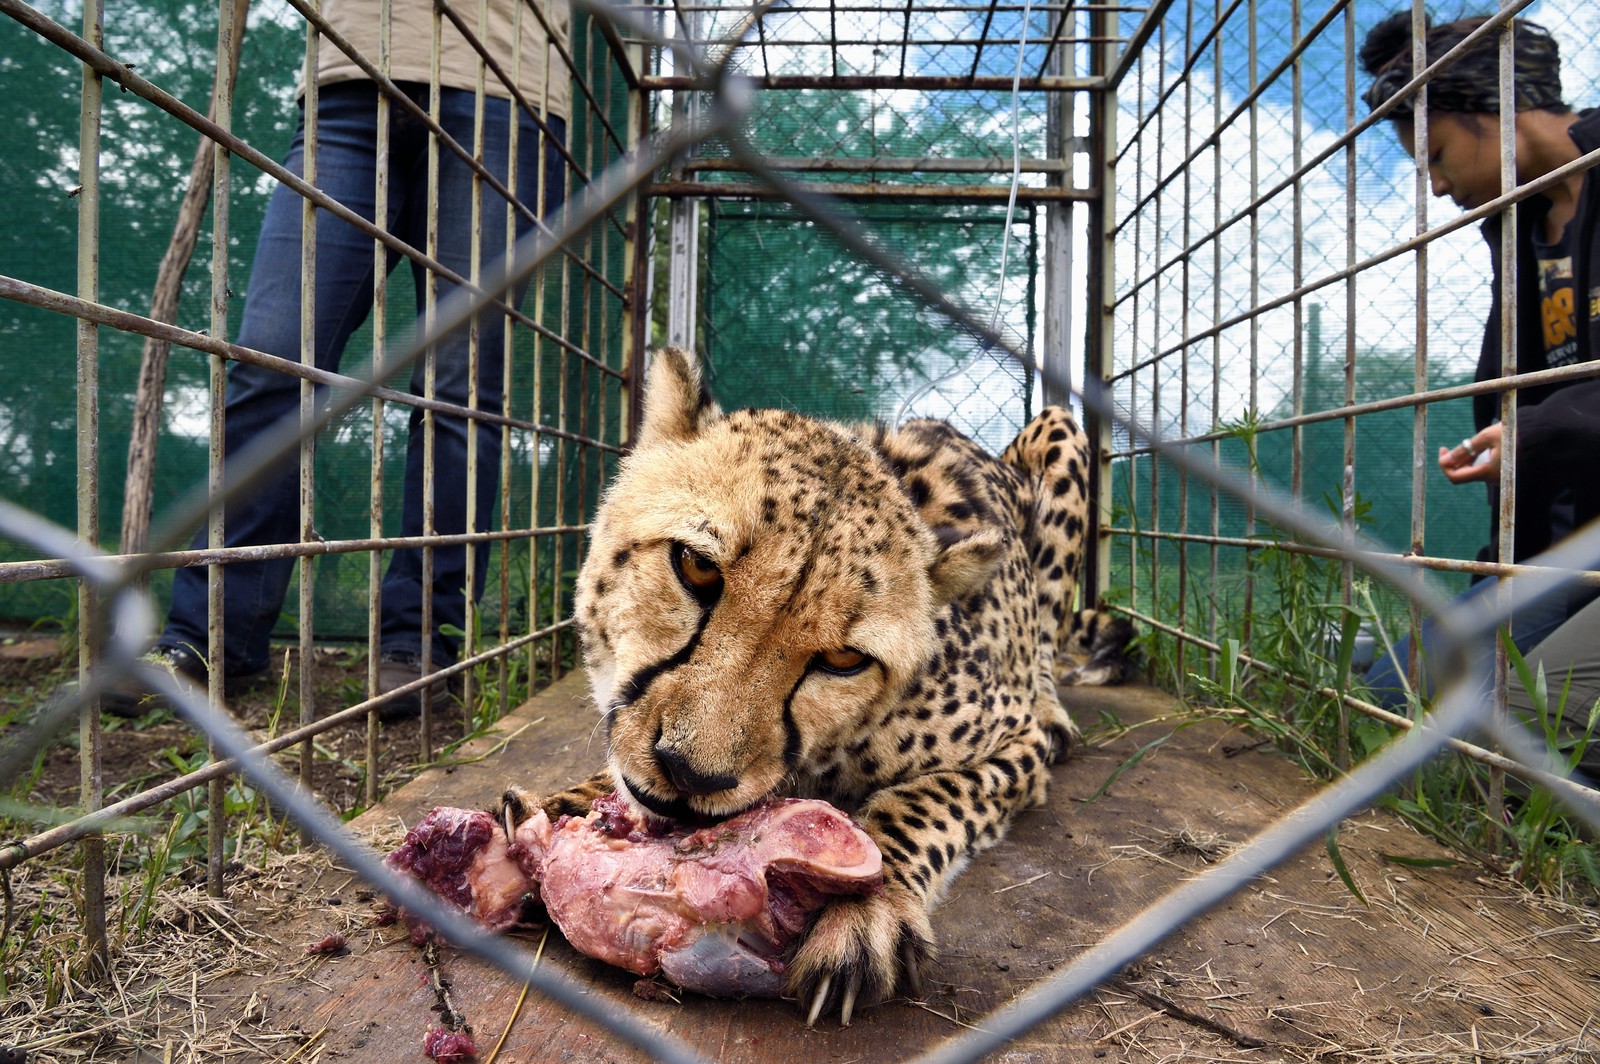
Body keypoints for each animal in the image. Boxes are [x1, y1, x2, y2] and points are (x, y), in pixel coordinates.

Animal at [501, 346, 1132, 1025]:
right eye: (696, 566)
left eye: (843, 659)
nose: (690, 775)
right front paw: (561, 809)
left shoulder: (1017, 742)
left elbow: (925, 799)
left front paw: (867, 907)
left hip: (1061, 430)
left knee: (1046, 633)